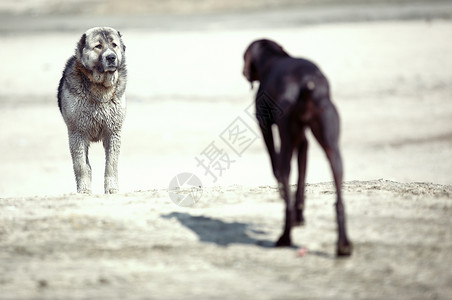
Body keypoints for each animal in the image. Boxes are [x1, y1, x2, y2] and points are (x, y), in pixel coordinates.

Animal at [57, 27, 127, 193]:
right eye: (98, 46)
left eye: (114, 45)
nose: (111, 57)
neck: (100, 88)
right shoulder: (77, 134)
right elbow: (81, 166)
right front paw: (84, 191)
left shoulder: (113, 132)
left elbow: (111, 164)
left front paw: (111, 189)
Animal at [244, 38, 354, 256]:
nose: (243, 72)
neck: (273, 59)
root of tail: (306, 84)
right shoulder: (304, 141)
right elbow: (302, 179)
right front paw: (300, 216)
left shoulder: (264, 125)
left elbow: (275, 165)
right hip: (332, 148)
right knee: (338, 199)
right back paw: (343, 244)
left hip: (287, 139)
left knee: (284, 173)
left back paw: (284, 237)